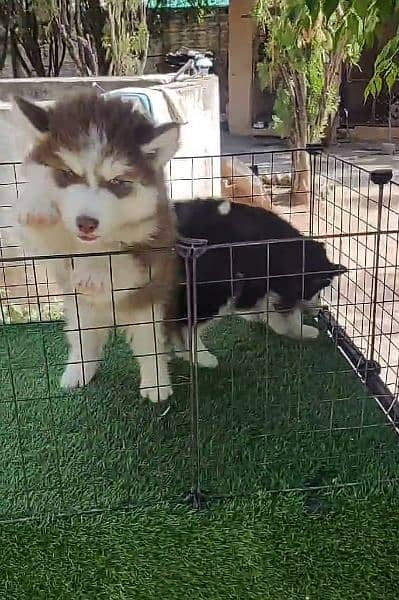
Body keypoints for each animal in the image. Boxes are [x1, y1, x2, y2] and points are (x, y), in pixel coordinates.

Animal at [12, 92, 180, 404]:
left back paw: (156, 384)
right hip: (81, 314)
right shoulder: (47, 250)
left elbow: (122, 256)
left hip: (148, 309)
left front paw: (95, 271)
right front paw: (38, 203)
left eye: (117, 181)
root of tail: (113, 317)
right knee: (83, 341)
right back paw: (77, 372)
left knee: (150, 345)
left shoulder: (156, 246)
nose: (86, 223)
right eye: (67, 173)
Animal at [171, 198, 346, 366]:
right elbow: (286, 315)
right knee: (187, 325)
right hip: (218, 287)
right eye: (317, 290)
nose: (318, 312)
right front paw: (303, 330)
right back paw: (202, 358)